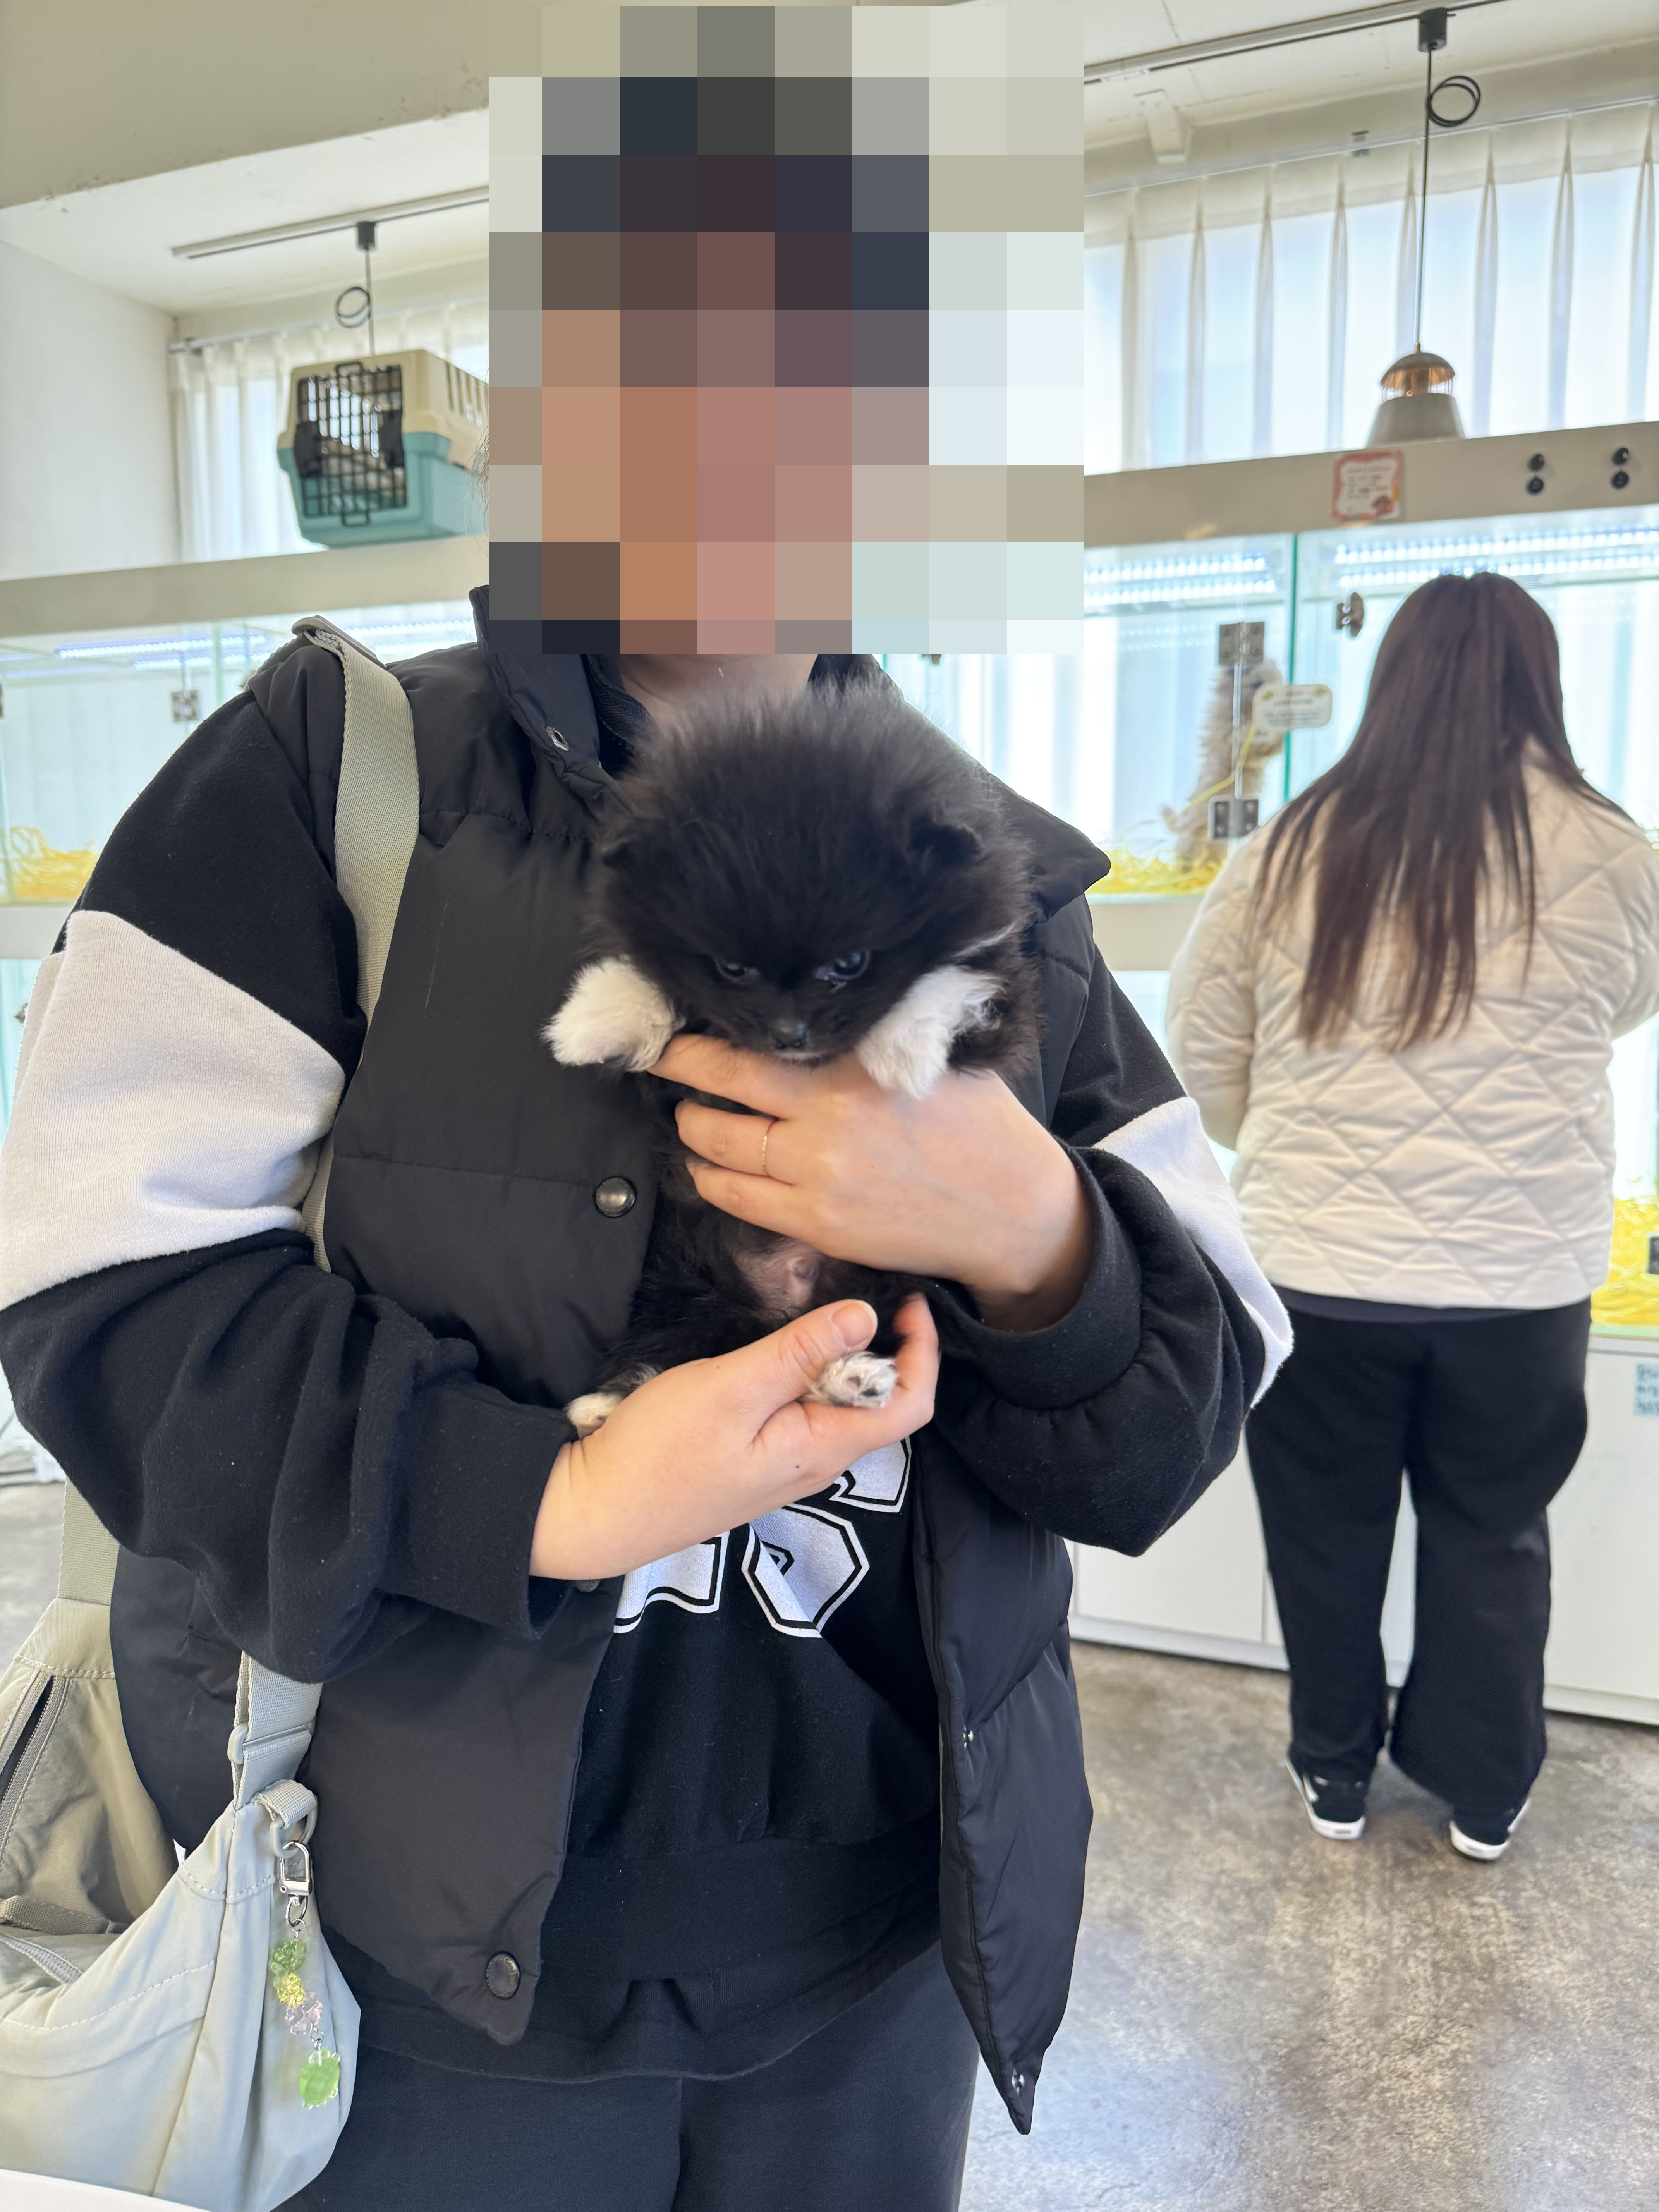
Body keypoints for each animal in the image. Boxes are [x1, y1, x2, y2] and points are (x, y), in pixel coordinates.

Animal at [546, 678, 1041, 1433]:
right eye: (731, 966)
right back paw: (605, 1408)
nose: (788, 1032)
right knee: (675, 1348)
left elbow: (952, 978)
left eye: (851, 963)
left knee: (842, 1335)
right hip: (682, 1286)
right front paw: (594, 1018)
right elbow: (660, 984)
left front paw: (902, 1049)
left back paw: (850, 1378)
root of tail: (777, 1304)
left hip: (866, 1280)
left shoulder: (1002, 996)